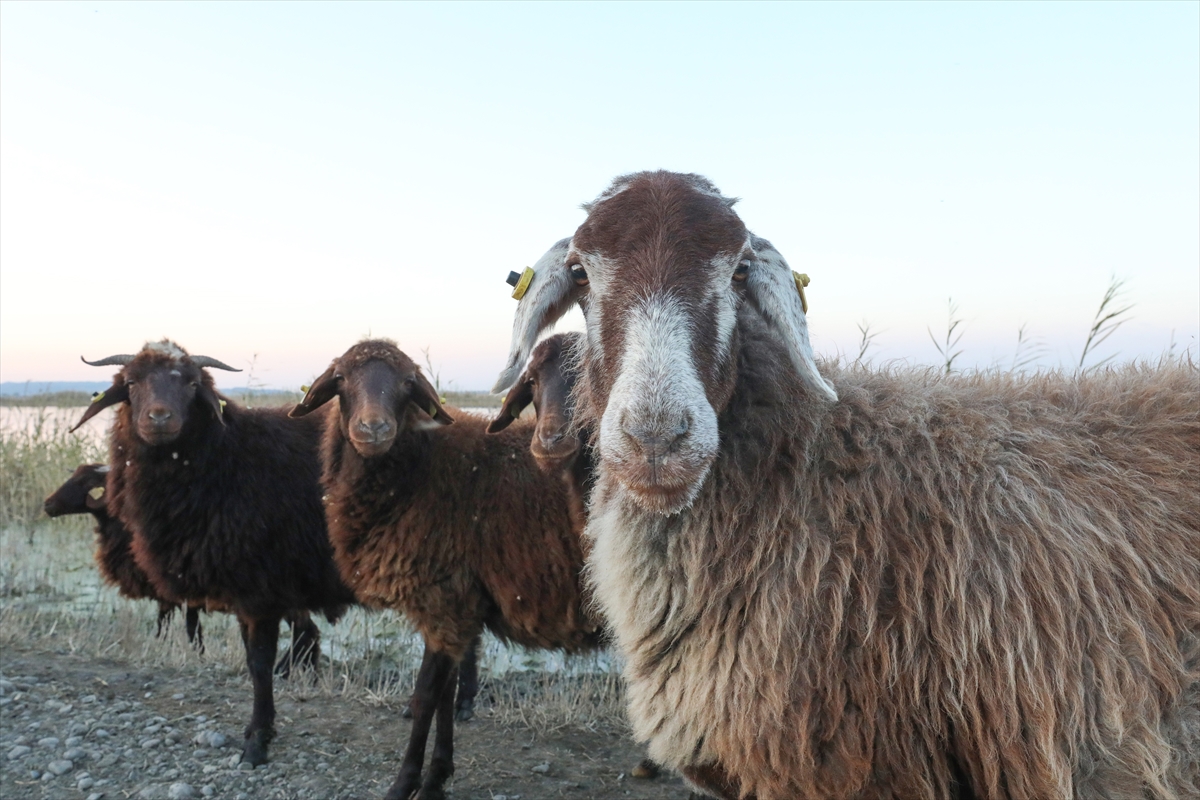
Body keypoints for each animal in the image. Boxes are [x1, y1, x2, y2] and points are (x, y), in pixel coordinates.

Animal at [72, 340, 355, 767]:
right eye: (131, 383)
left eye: (192, 385)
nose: (159, 418)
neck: (228, 455)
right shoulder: (243, 592)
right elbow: (254, 661)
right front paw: (257, 733)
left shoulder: (261, 590)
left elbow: (259, 664)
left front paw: (257, 745)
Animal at [286, 340, 604, 800]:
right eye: (341, 379)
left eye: (407, 383)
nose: (373, 430)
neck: (420, 470)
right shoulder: (456, 609)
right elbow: (445, 696)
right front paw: (437, 776)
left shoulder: (444, 600)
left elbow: (425, 697)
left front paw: (405, 783)